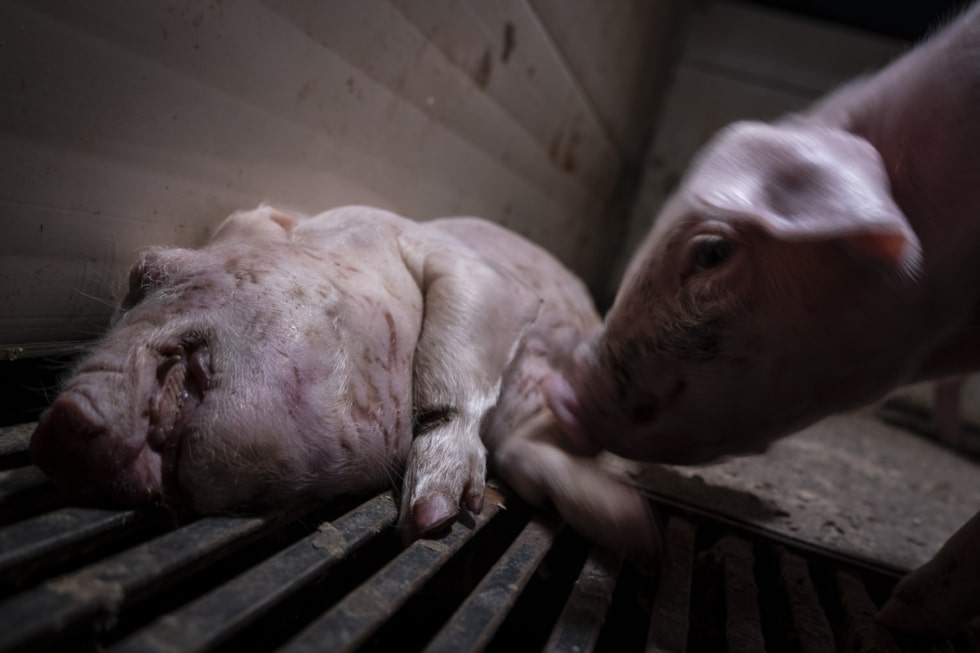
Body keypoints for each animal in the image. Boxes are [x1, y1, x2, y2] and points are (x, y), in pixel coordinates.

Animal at [32, 208, 660, 560]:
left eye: (150, 269)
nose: (59, 423)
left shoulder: (480, 276)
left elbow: (451, 349)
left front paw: (431, 518)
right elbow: (520, 452)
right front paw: (632, 525)